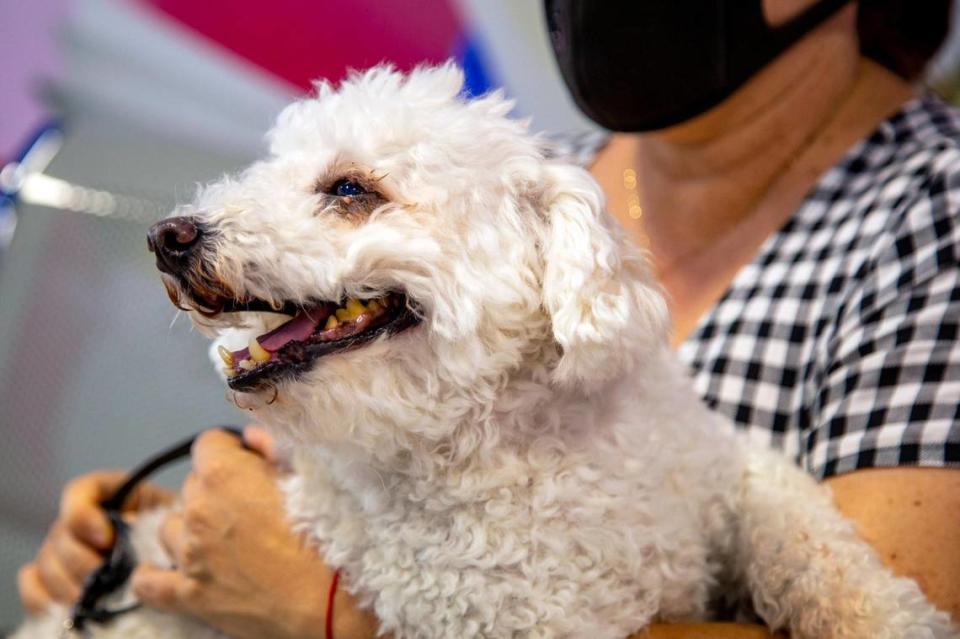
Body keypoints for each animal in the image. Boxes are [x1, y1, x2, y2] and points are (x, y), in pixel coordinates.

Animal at [13, 62, 952, 636]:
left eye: (349, 188)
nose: (168, 236)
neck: (511, 434)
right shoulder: (508, 611)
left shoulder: (730, 473)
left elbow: (813, 540)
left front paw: (897, 619)